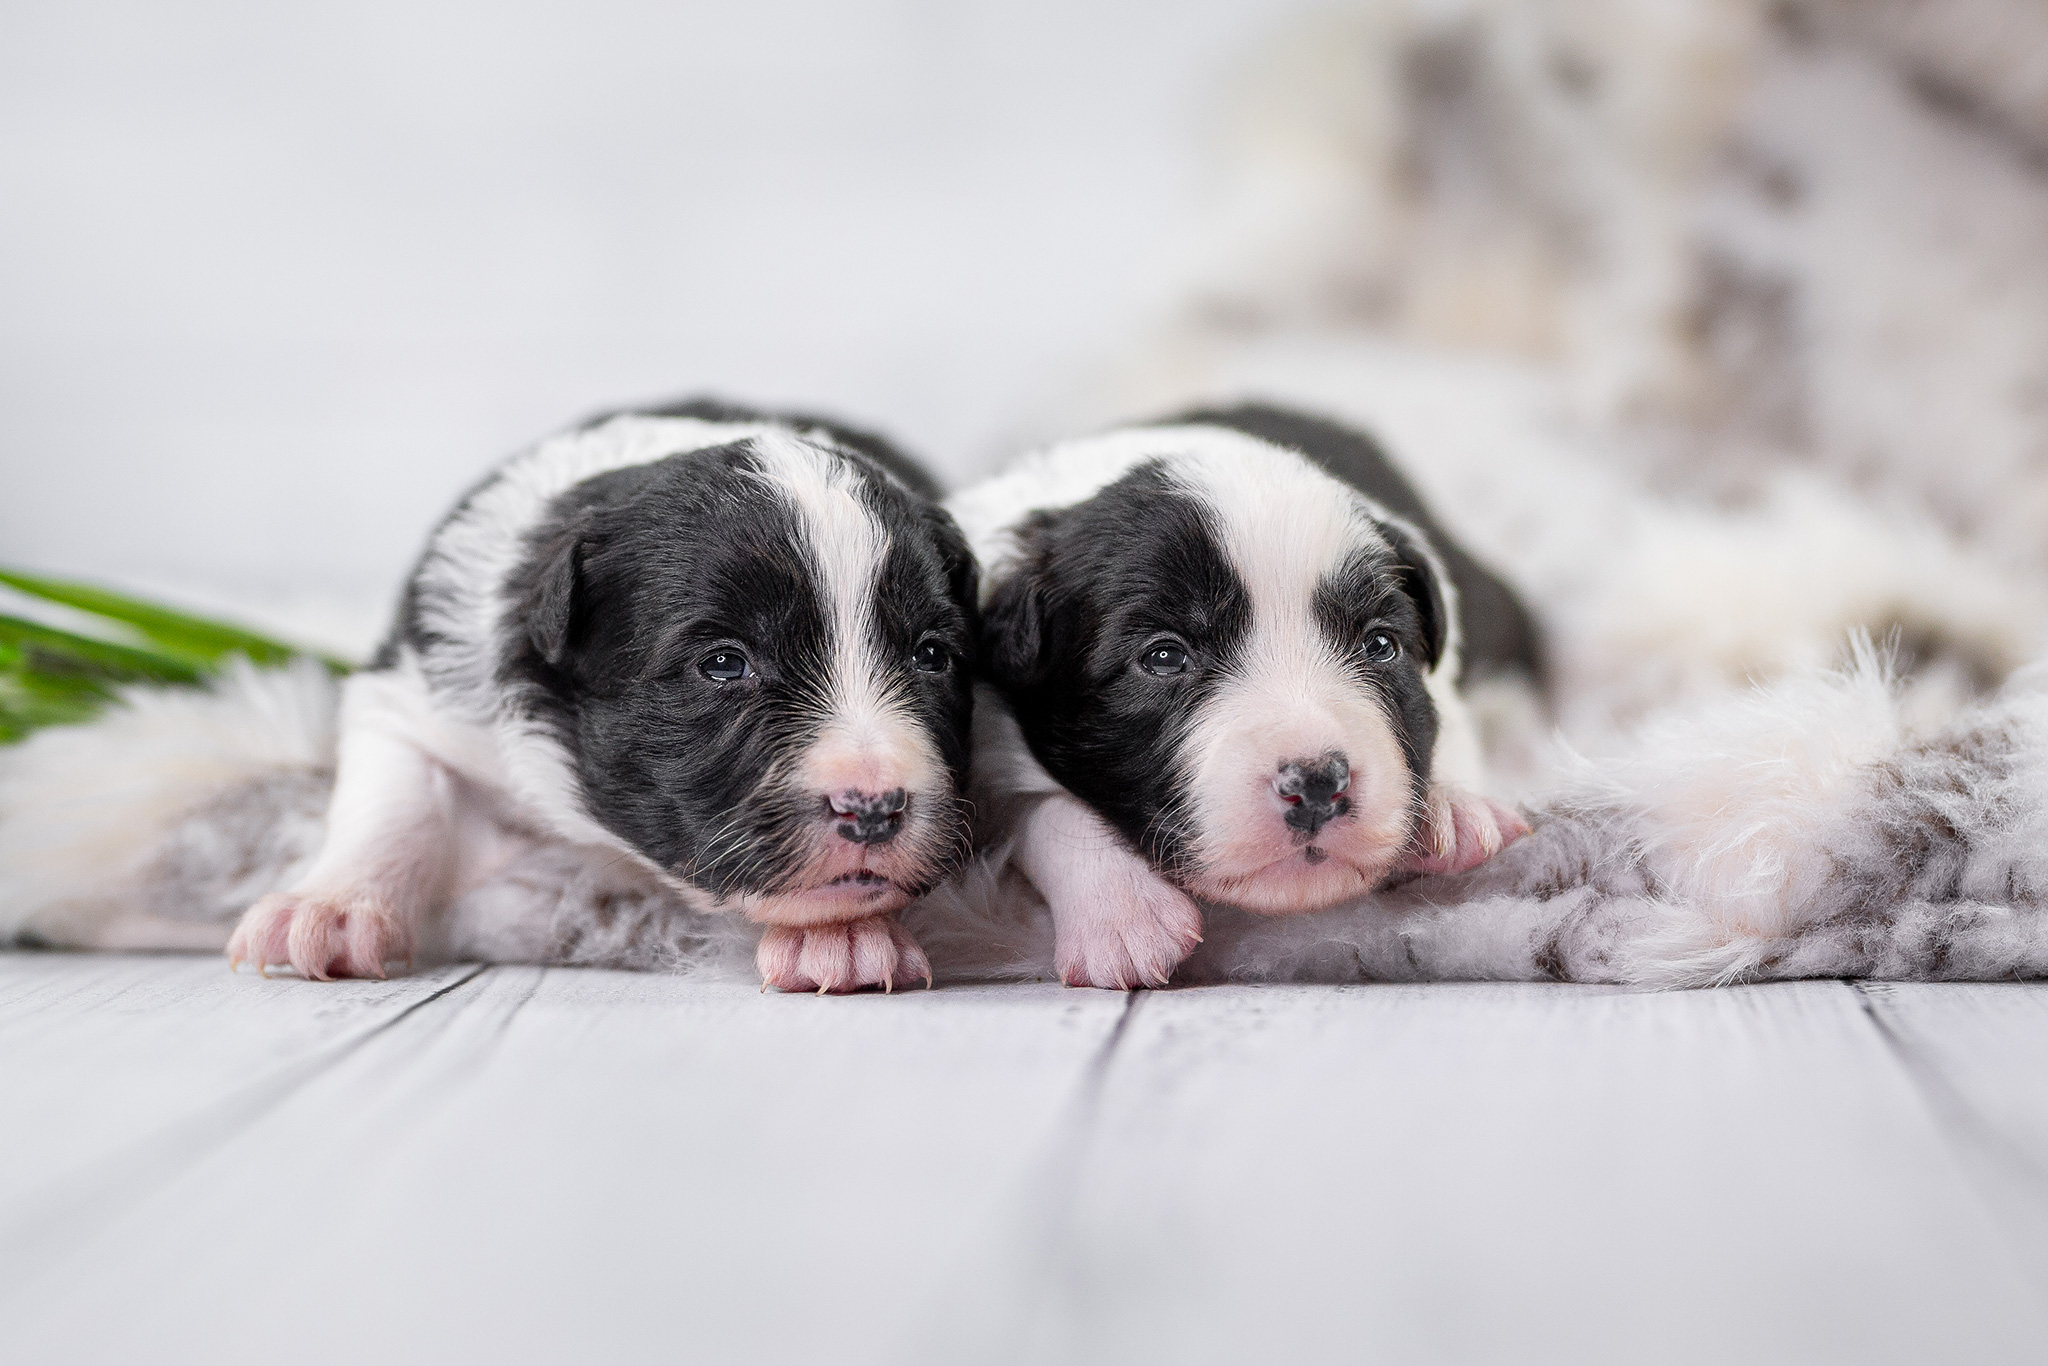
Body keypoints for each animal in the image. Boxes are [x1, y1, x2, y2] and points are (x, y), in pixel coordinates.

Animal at [228, 397, 978, 995]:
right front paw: (327, 910)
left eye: (932, 656)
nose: (874, 810)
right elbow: (393, 800)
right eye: (724, 664)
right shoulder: (408, 691)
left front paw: (843, 936)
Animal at [950, 401, 1540, 987]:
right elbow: (1036, 803)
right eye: (1163, 657)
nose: (1317, 783)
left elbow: (1447, 717)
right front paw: (1122, 912)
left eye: (1380, 645)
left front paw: (1454, 808)